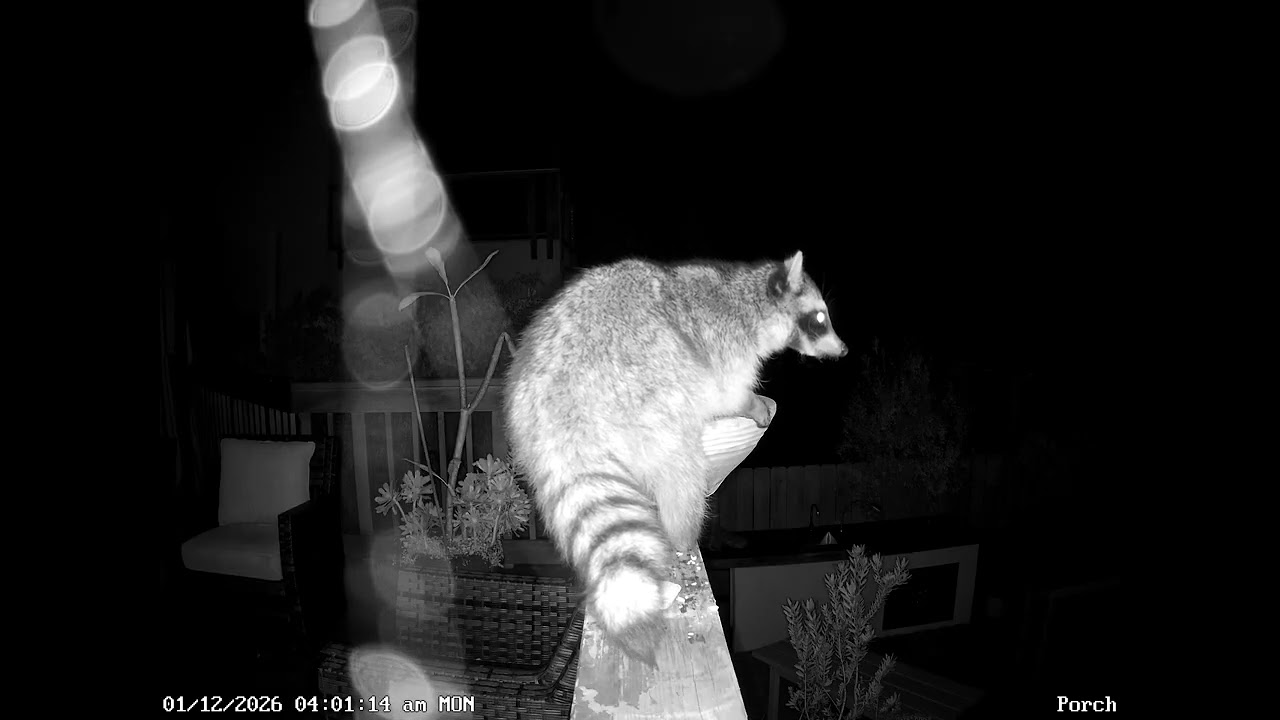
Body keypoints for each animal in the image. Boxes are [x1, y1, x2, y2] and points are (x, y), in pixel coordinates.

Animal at [503, 251, 847, 665]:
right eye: (820, 319)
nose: (843, 350)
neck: (749, 297)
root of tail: (563, 405)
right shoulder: (725, 340)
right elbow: (726, 393)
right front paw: (749, 403)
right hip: (652, 387)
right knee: (681, 471)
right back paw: (681, 535)